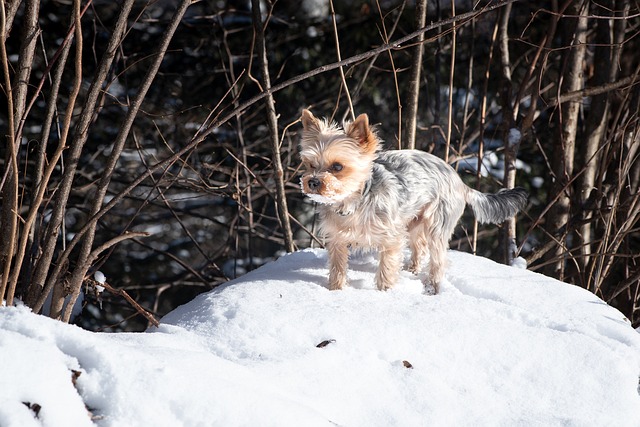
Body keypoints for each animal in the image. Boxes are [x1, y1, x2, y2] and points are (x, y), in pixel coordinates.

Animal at [298, 109, 528, 294]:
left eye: (337, 166)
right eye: (310, 164)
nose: (313, 182)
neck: (353, 204)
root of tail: (460, 182)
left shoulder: (391, 238)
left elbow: (387, 267)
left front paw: (385, 292)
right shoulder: (337, 239)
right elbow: (337, 266)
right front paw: (336, 290)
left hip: (437, 224)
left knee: (438, 259)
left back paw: (431, 287)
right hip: (414, 221)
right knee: (420, 247)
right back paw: (412, 270)